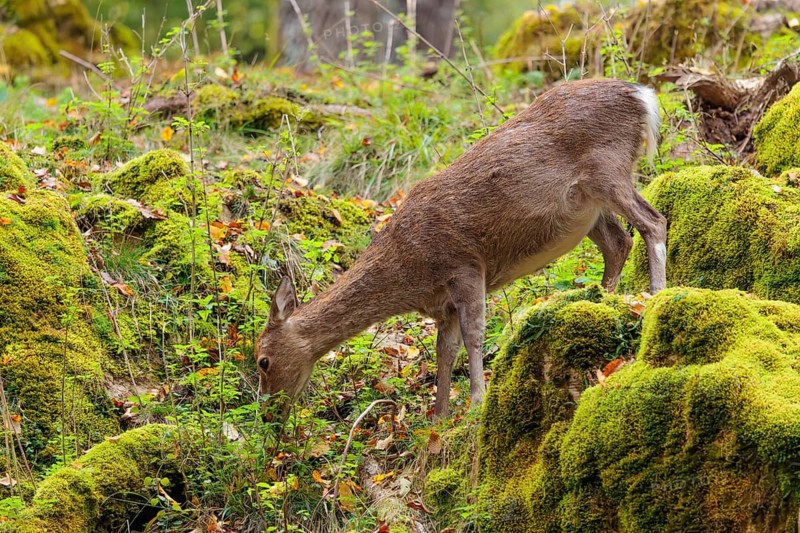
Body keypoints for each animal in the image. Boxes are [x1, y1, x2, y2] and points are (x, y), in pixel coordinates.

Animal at [256, 78, 666, 419]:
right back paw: (603, 299)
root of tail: (643, 96)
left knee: (653, 222)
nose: (268, 414)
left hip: (607, 169)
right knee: (618, 242)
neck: (409, 272)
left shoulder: (465, 266)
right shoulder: (442, 304)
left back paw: (655, 293)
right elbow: (445, 350)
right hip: (587, 208)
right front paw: (439, 416)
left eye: (262, 361)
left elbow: (475, 334)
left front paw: (475, 402)